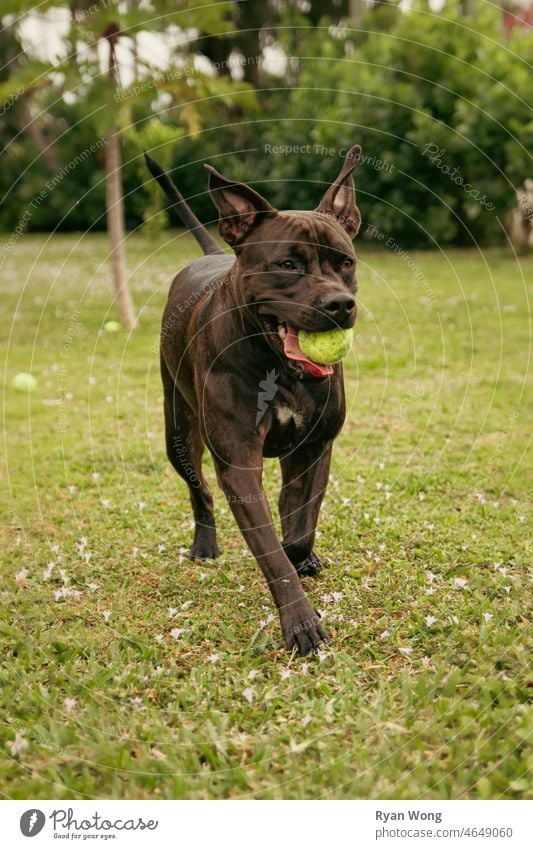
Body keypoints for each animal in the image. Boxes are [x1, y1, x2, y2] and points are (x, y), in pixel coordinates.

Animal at [145, 144, 362, 656]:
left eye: (345, 262)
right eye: (287, 265)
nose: (340, 304)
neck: (278, 368)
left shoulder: (314, 449)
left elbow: (299, 527)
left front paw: (302, 556)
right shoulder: (239, 462)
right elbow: (272, 550)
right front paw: (301, 623)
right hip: (178, 430)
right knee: (199, 489)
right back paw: (205, 545)